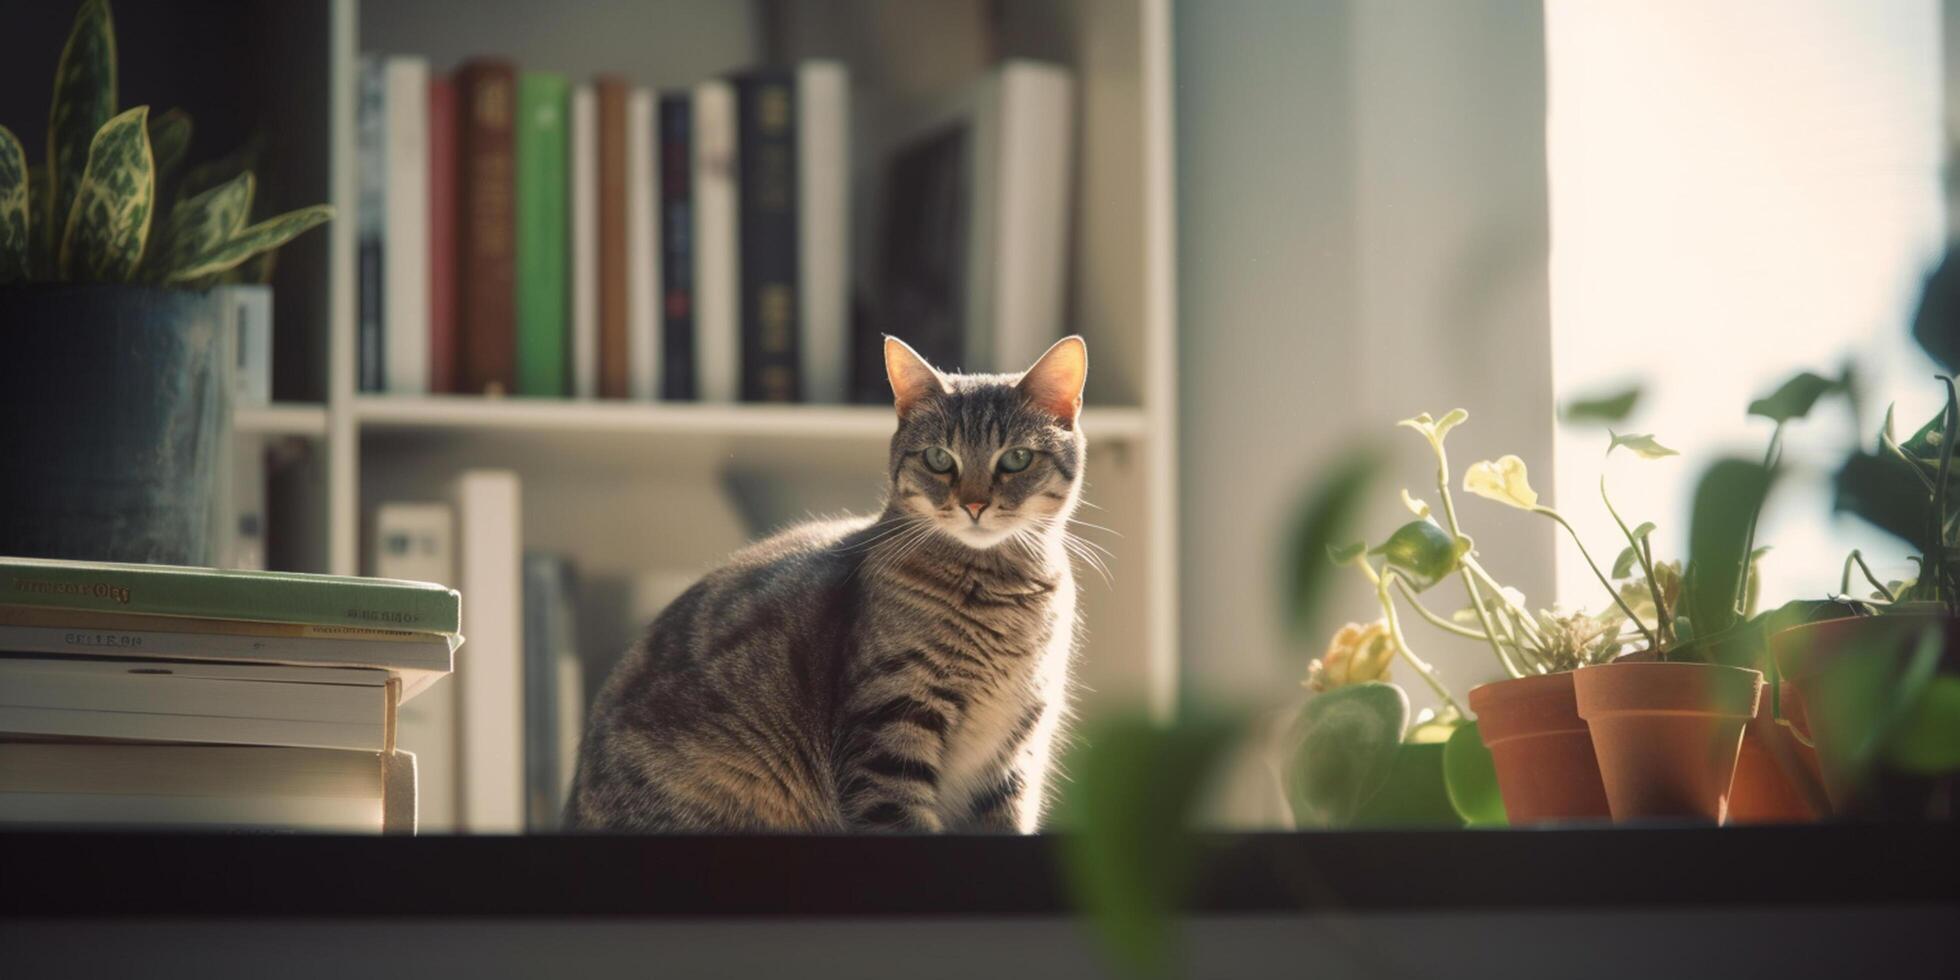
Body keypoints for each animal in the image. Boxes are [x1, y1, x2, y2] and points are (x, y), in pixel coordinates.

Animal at [564, 335, 1089, 827]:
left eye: (1016, 458)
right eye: (940, 459)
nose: (974, 504)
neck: (998, 595)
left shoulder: (1015, 754)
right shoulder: (889, 733)